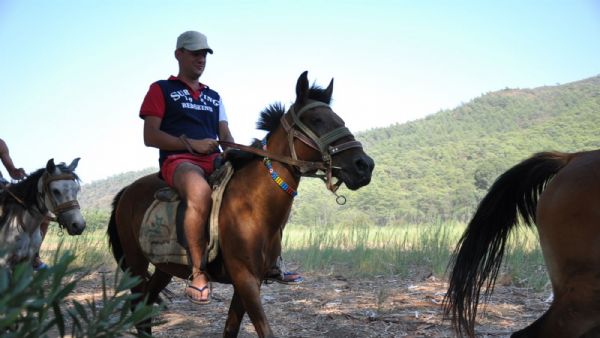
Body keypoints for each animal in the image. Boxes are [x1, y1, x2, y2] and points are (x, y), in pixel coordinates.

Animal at [105, 71, 372, 336]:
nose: (365, 165)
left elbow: (231, 329)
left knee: (147, 302)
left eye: (339, 119)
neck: (253, 207)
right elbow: (264, 330)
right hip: (136, 264)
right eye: (316, 119)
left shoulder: (250, 282)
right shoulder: (245, 279)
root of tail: (127, 190)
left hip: (164, 266)